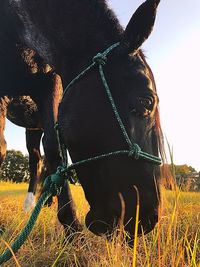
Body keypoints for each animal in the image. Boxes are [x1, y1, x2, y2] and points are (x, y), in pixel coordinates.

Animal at [7, 0, 164, 242]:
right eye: (146, 101)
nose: (147, 219)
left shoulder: (50, 83)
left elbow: (54, 148)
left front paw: (71, 228)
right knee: (34, 157)